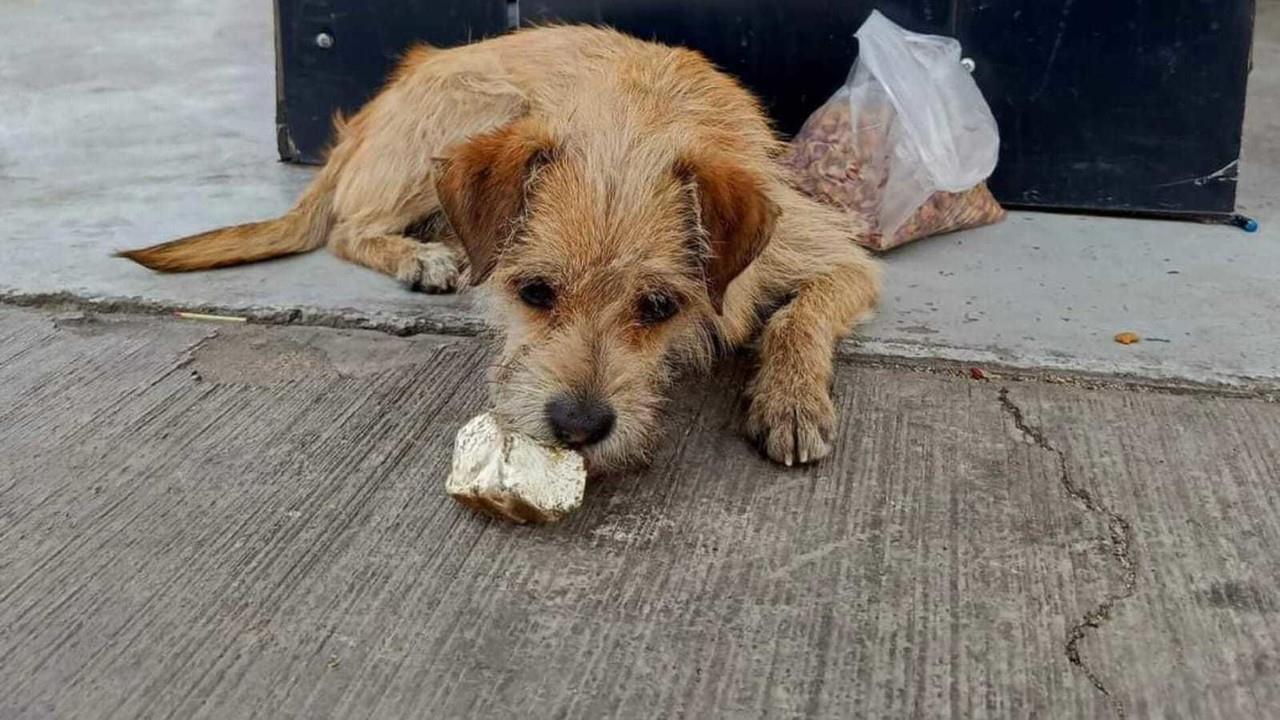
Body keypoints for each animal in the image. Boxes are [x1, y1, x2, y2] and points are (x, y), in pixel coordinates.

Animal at [122, 25, 880, 468]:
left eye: (660, 307)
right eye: (534, 292)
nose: (578, 426)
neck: (636, 118)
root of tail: (377, 106)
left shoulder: (835, 257)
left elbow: (798, 316)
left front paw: (791, 399)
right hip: (478, 108)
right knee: (346, 229)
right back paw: (423, 256)